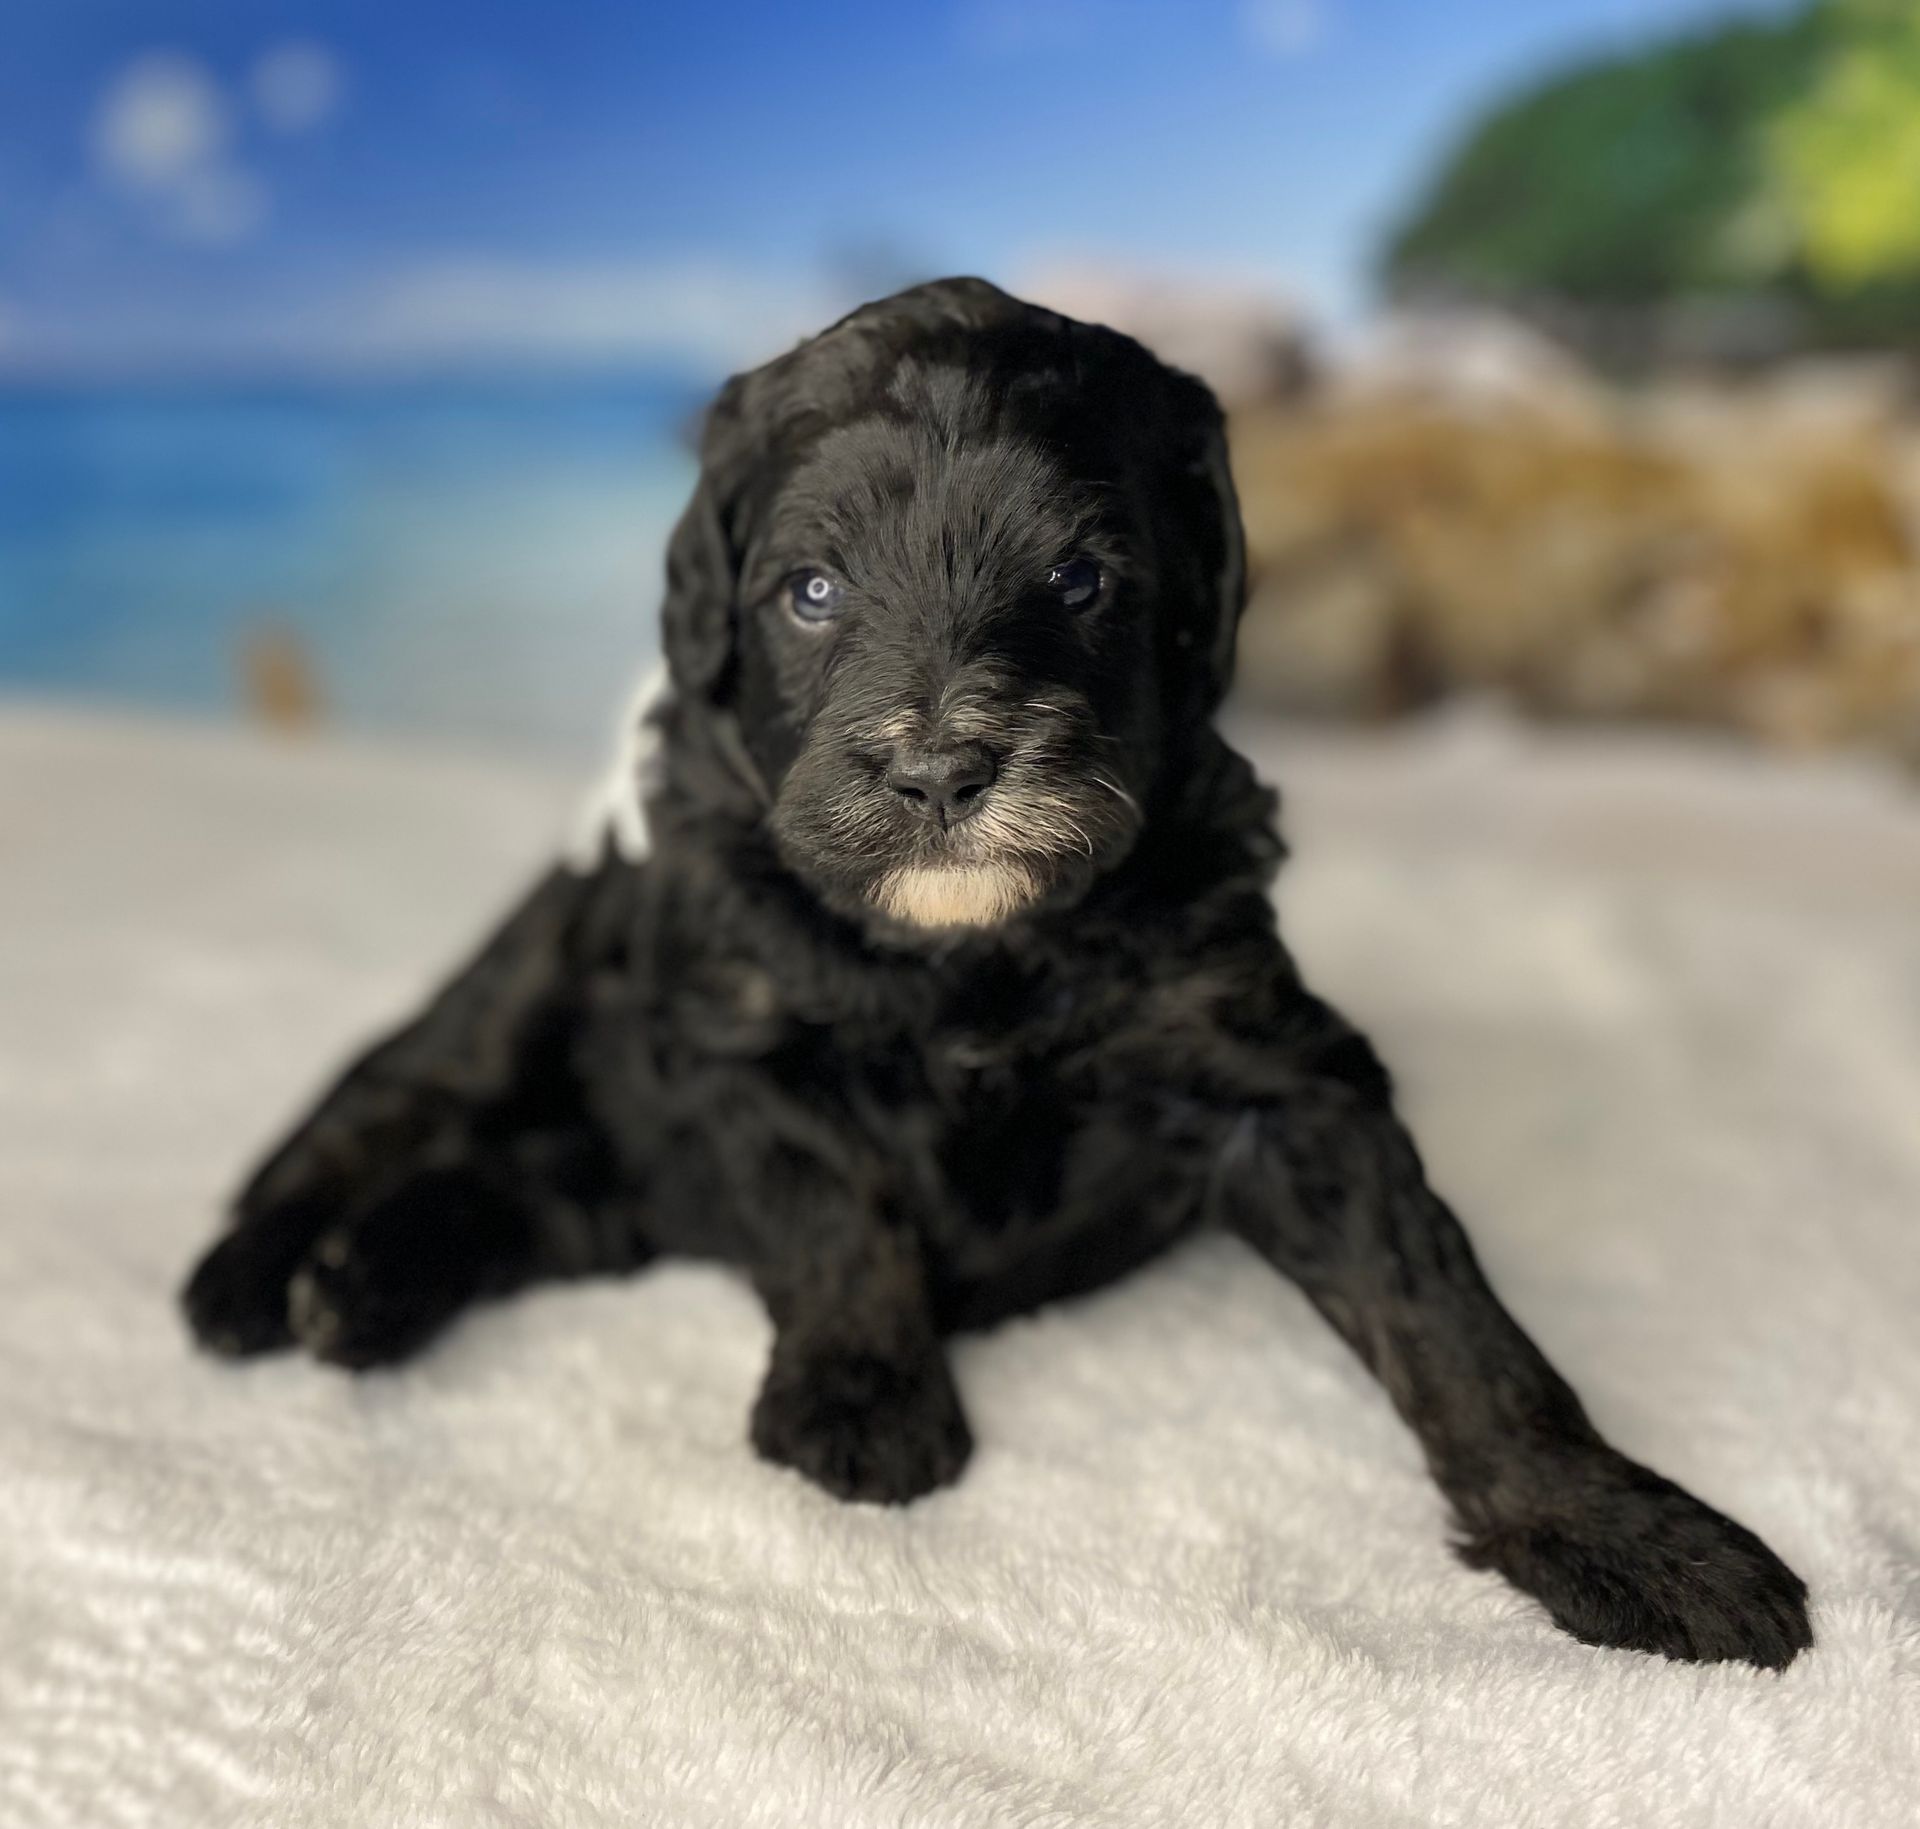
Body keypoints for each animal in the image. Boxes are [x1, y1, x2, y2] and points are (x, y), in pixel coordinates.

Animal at [183, 278, 1812, 1665]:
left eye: (1079, 576)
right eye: (812, 591)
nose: (938, 771)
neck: (968, 952)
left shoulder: (1275, 1074)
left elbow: (1445, 1314)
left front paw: (1626, 1532)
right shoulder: (736, 1032)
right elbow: (834, 1200)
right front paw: (862, 1399)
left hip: (602, 1189)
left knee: (507, 1188)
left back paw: (368, 1286)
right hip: (538, 972)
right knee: (390, 1098)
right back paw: (256, 1277)